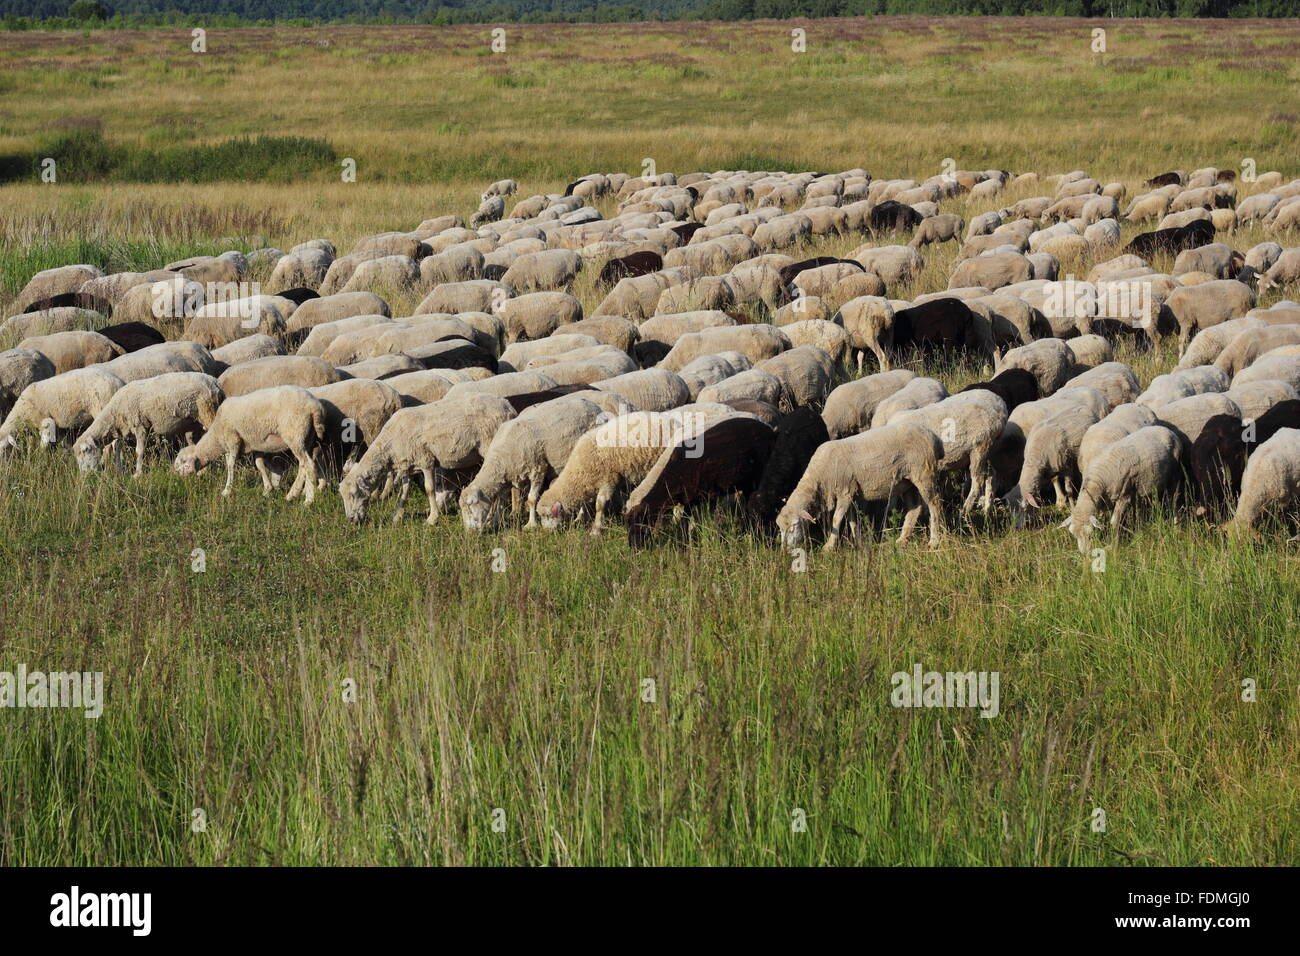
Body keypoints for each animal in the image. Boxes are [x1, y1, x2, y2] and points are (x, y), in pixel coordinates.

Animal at [73, 372, 223, 476]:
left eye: (85, 450)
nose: (85, 476)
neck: (114, 414)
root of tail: (216, 383)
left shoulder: (140, 425)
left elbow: (139, 451)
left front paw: (137, 474)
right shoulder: (122, 429)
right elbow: (118, 450)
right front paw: (119, 472)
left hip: (208, 411)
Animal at [174, 386, 327, 504]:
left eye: (183, 463)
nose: (178, 479)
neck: (217, 437)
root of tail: (314, 406)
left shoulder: (233, 440)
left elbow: (230, 465)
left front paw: (227, 490)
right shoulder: (256, 444)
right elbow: (259, 464)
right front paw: (267, 489)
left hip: (294, 433)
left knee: (308, 464)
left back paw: (307, 500)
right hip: (306, 437)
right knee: (305, 464)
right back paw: (297, 493)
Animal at [339, 392, 516, 524]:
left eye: (354, 494)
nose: (351, 520)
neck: (389, 445)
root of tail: (508, 407)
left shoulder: (426, 460)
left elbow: (429, 489)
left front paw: (432, 518)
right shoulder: (407, 465)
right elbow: (403, 491)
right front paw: (396, 516)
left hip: (492, 445)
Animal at [460, 395, 608, 529]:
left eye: (470, 506)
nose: (470, 533)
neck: (500, 459)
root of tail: (595, 406)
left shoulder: (538, 468)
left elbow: (531, 499)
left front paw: (531, 524)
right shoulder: (506, 478)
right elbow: (500, 501)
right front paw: (494, 522)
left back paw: (580, 518)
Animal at [775, 423, 946, 550]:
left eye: (794, 525)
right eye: (780, 528)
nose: (785, 551)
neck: (819, 477)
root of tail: (933, 436)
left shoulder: (845, 491)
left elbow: (836, 519)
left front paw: (828, 547)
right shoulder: (852, 493)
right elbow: (852, 520)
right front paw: (858, 542)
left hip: (924, 472)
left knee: (935, 504)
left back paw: (934, 541)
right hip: (907, 482)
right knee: (914, 508)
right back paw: (902, 539)